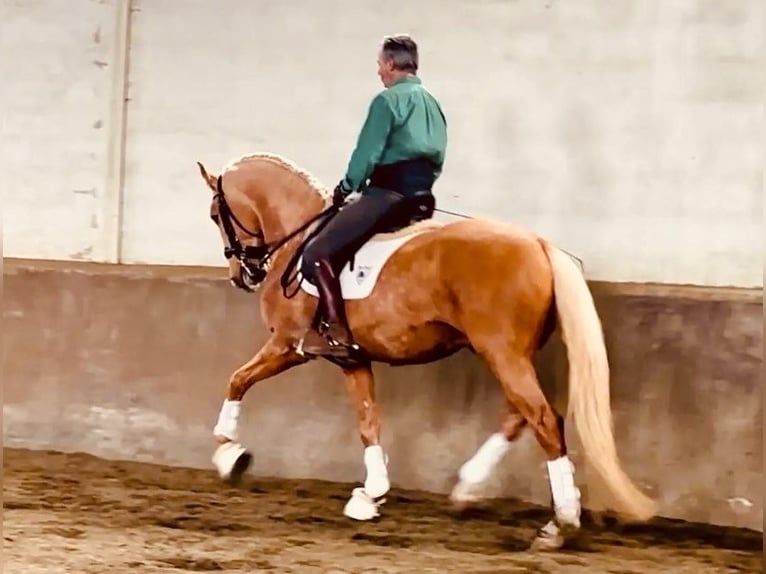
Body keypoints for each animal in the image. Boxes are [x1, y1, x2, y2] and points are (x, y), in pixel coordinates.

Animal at [195, 151, 656, 552]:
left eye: (217, 215)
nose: (242, 275)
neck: (300, 238)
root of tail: (538, 243)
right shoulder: (352, 358)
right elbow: (368, 421)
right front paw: (371, 495)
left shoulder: (288, 345)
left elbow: (237, 379)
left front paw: (229, 454)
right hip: (510, 354)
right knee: (519, 414)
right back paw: (467, 489)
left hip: (502, 352)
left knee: (543, 419)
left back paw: (559, 525)